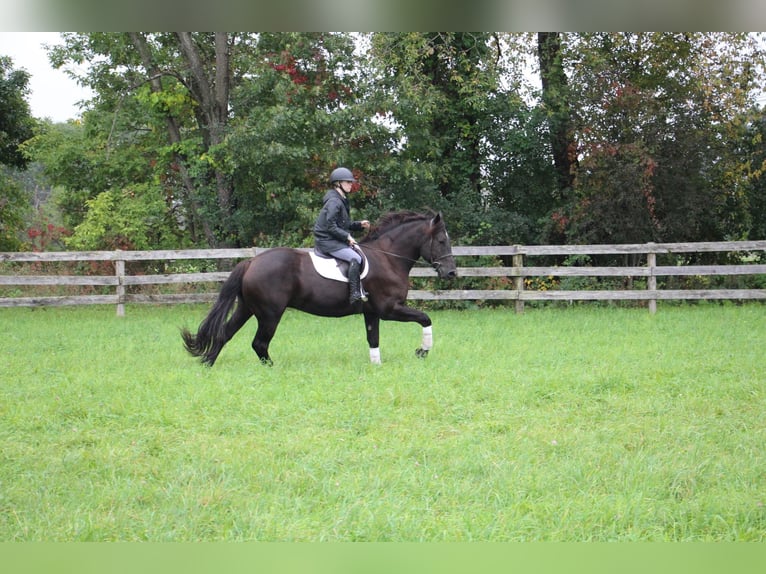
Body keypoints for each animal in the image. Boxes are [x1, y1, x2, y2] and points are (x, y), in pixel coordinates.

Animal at [182, 209, 456, 366]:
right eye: (442, 241)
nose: (451, 273)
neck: (388, 258)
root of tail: (252, 262)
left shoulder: (371, 312)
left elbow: (373, 338)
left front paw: (376, 365)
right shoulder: (389, 309)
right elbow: (425, 318)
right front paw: (422, 351)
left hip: (247, 308)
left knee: (225, 333)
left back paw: (208, 363)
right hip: (270, 314)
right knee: (259, 343)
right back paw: (271, 368)